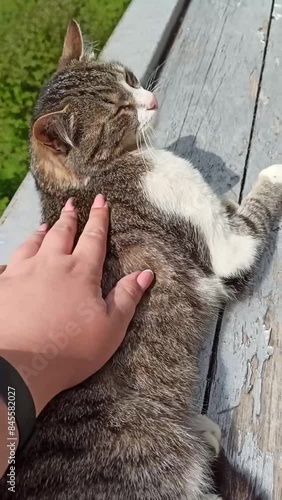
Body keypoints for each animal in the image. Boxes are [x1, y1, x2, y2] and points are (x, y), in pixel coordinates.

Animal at [1, 19, 280, 500]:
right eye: (118, 112)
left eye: (129, 79)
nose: (151, 100)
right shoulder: (227, 249)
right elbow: (256, 207)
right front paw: (276, 173)